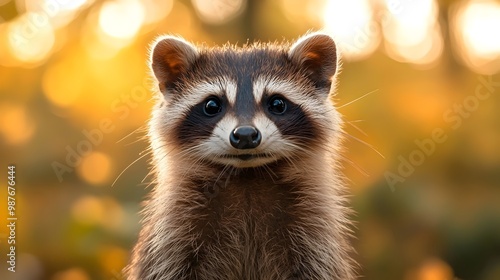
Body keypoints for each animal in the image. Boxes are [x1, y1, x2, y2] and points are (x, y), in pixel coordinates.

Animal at [124, 33, 356, 280]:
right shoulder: (172, 234)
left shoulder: (315, 234)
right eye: (212, 105)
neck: (247, 176)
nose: (245, 135)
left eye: (277, 104)